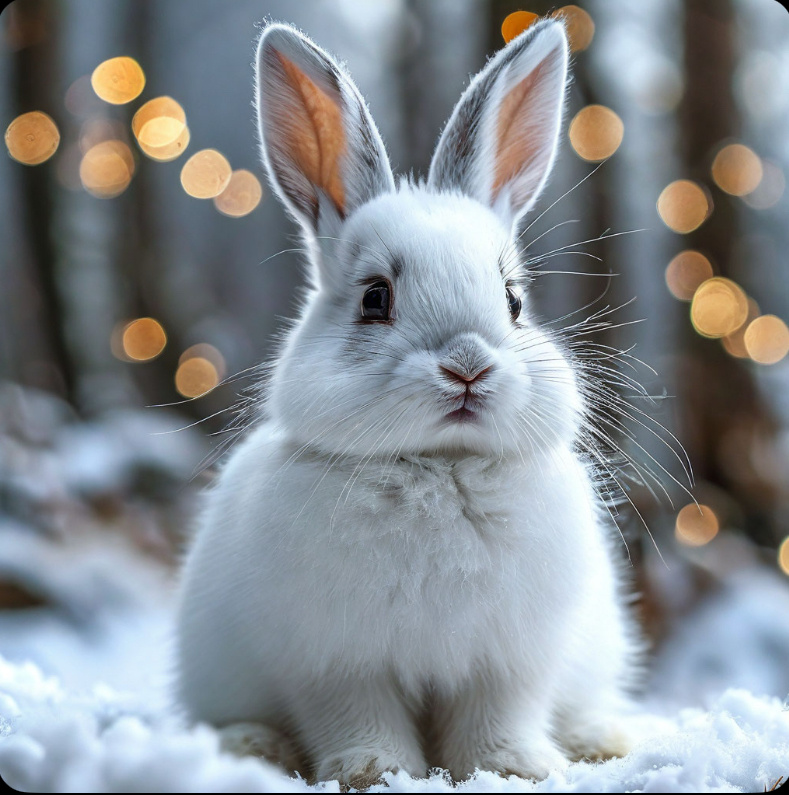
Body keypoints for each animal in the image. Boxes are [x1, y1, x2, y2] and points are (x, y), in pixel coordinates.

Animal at [175, 17, 645, 788]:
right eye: (375, 298)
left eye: (513, 301)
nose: (468, 366)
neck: (439, 464)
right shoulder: (337, 662)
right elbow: (359, 716)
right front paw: (374, 770)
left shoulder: (507, 663)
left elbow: (496, 718)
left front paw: (515, 768)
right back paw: (253, 747)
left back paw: (604, 739)